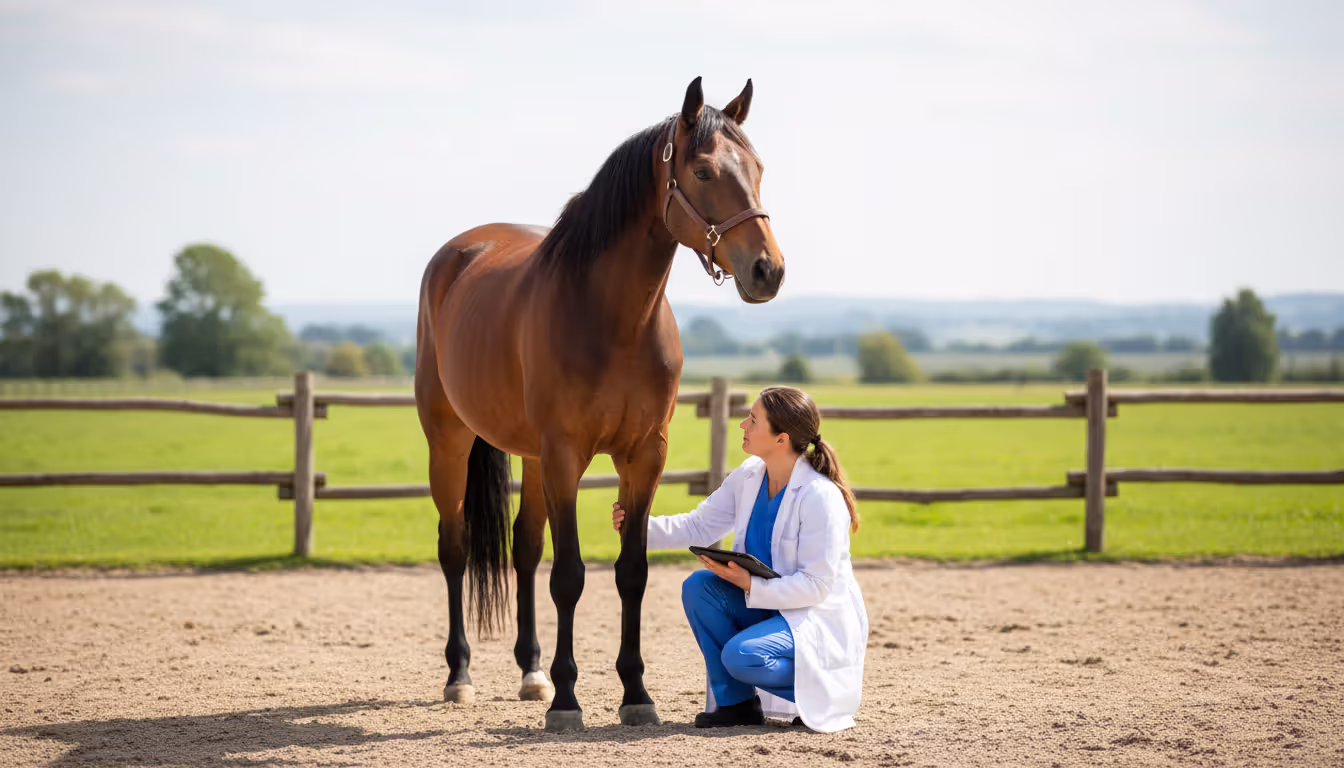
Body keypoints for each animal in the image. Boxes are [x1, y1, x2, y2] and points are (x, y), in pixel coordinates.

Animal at [414, 76, 785, 731]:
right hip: (450, 441)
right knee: (454, 548)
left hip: (532, 458)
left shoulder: (643, 455)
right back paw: (460, 676)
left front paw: (635, 693)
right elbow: (569, 576)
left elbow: (630, 572)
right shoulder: (566, 454)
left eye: (758, 168)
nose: (768, 269)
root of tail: (458, 254)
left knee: (524, 548)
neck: (614, 318)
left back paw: (531, 672)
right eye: (705, 170)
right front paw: (568, 700)